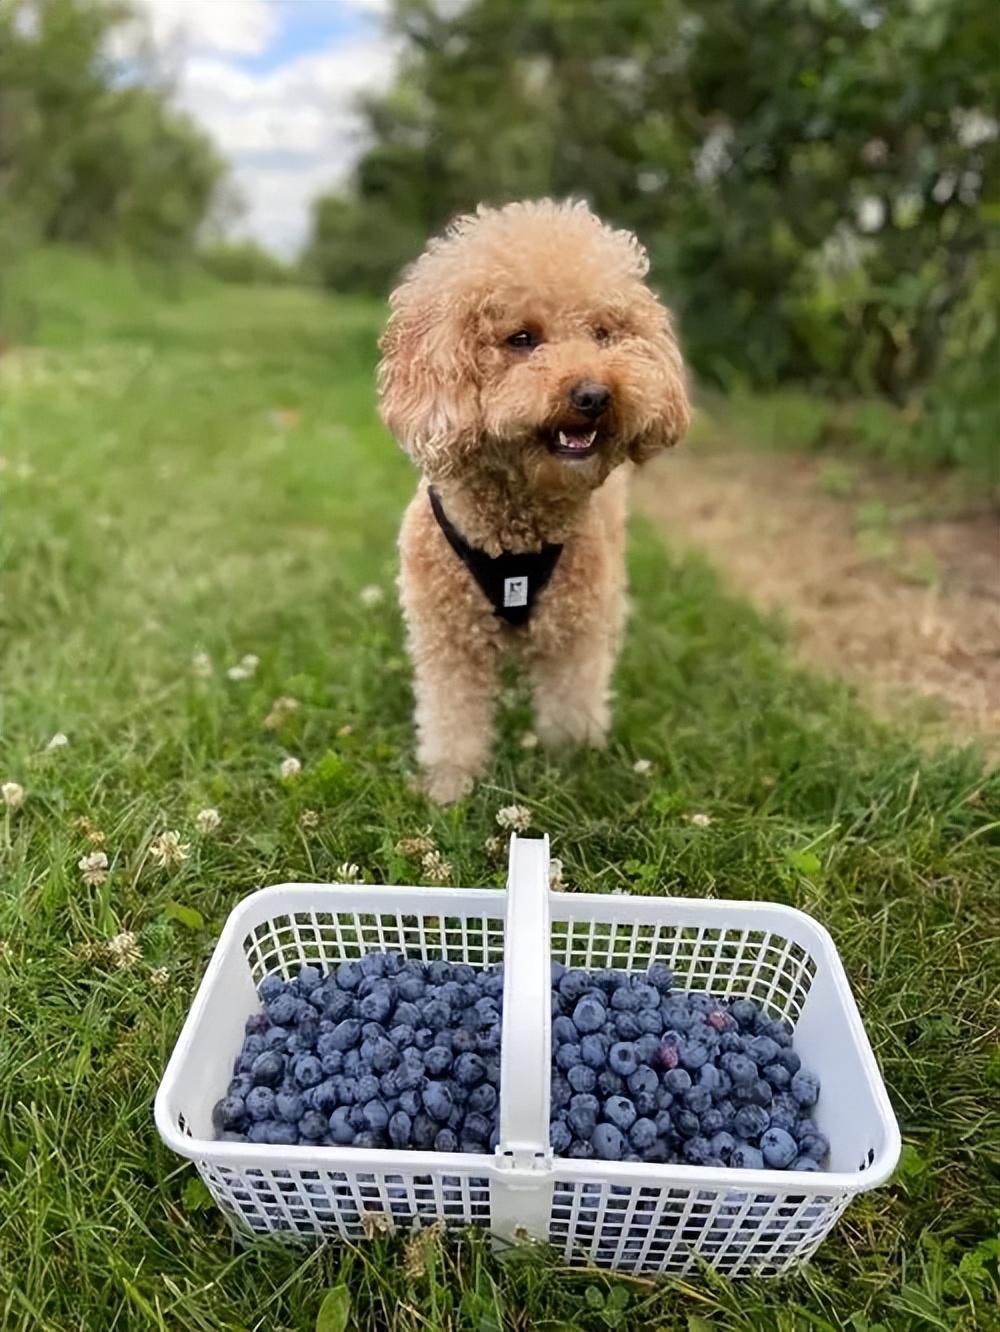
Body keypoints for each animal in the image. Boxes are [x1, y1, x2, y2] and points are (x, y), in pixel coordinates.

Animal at [377, 199, 690, 803]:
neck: (514, 531)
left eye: (603, 333)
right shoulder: (449, 637)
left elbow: (571, 703)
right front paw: (451, 786)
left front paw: (572, 768)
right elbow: (452, 717)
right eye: (521, 338)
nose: (594, 394)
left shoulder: (572, 628)